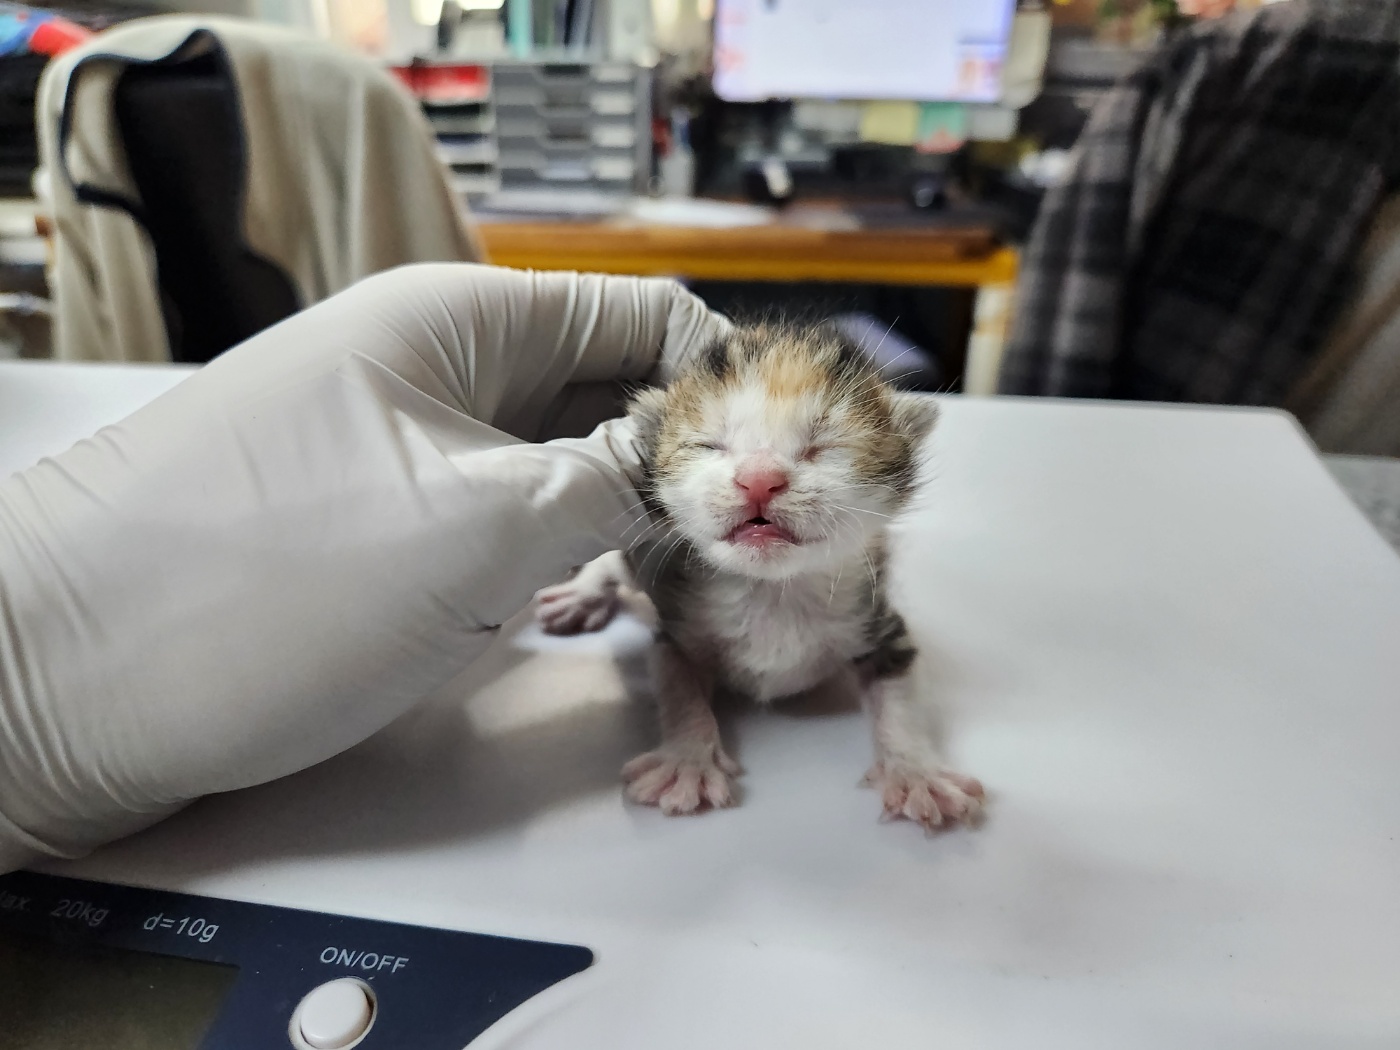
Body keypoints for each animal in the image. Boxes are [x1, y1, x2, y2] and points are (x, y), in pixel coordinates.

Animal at [534, 320, 985, 828]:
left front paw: (915, 772)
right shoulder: (677, 626)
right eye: (708, 444)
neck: (773, 589)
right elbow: (679, 690)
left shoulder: (880, 623)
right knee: (608, 562)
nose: (759, 478)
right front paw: (687, 761)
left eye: (823, 447)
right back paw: (582, 594)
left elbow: (900, 701)